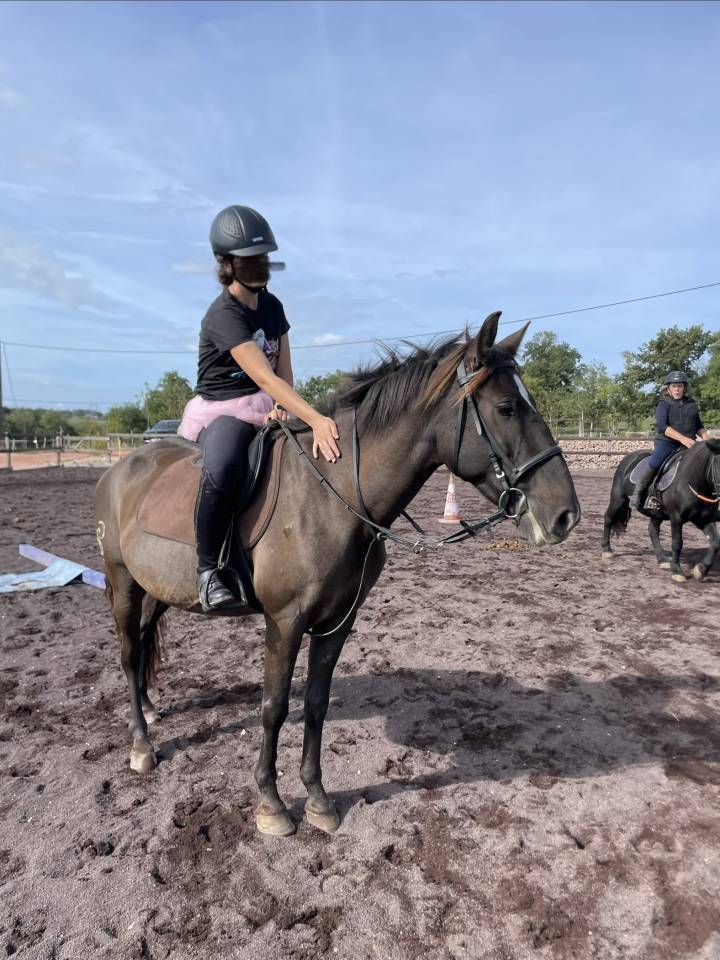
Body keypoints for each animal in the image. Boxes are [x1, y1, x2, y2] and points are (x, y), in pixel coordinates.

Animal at [93, 311, 580, 837]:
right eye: (507, 407)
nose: (565, 515)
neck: (335, 494)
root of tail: (120, 468)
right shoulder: (284, 621)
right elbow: (274, 707)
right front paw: (271, 805)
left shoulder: (338, 622)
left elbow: (316, 704)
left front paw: (318, 800)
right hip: (122, 582)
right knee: (128, 655)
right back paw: (141, 746)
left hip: (156, 586)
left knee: (144, 640)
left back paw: (149, 708)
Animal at [600, 441, 720, 582]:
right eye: (718, 465)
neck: (693, 481)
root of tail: (629, 458)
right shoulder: (676, 517)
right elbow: (677, 543)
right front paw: (677, 571)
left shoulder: (704, 518)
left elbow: (715, 543)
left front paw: (701, 570)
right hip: (618, 499)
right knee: (608, 518)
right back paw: (606, 550)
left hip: (656, 513)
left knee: (652, 530)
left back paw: (662, 559)